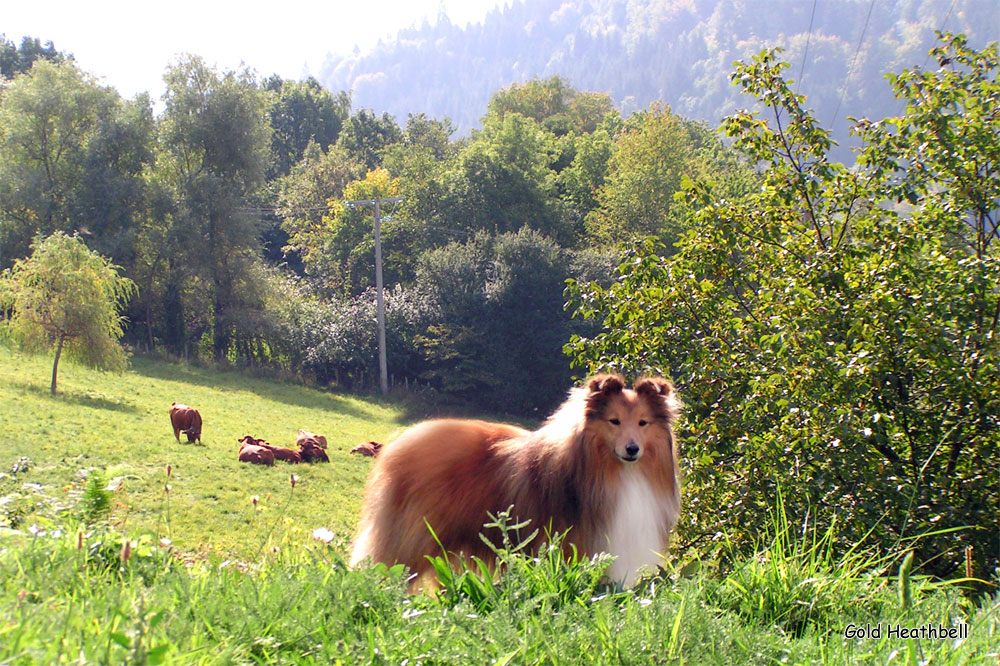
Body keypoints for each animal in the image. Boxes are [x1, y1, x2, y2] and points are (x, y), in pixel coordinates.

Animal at [350, 374, 680, 588]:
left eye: (643, 423)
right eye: (614, 421)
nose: (632, 449)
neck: (615, 472)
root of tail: (401, 443)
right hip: (413, 540)